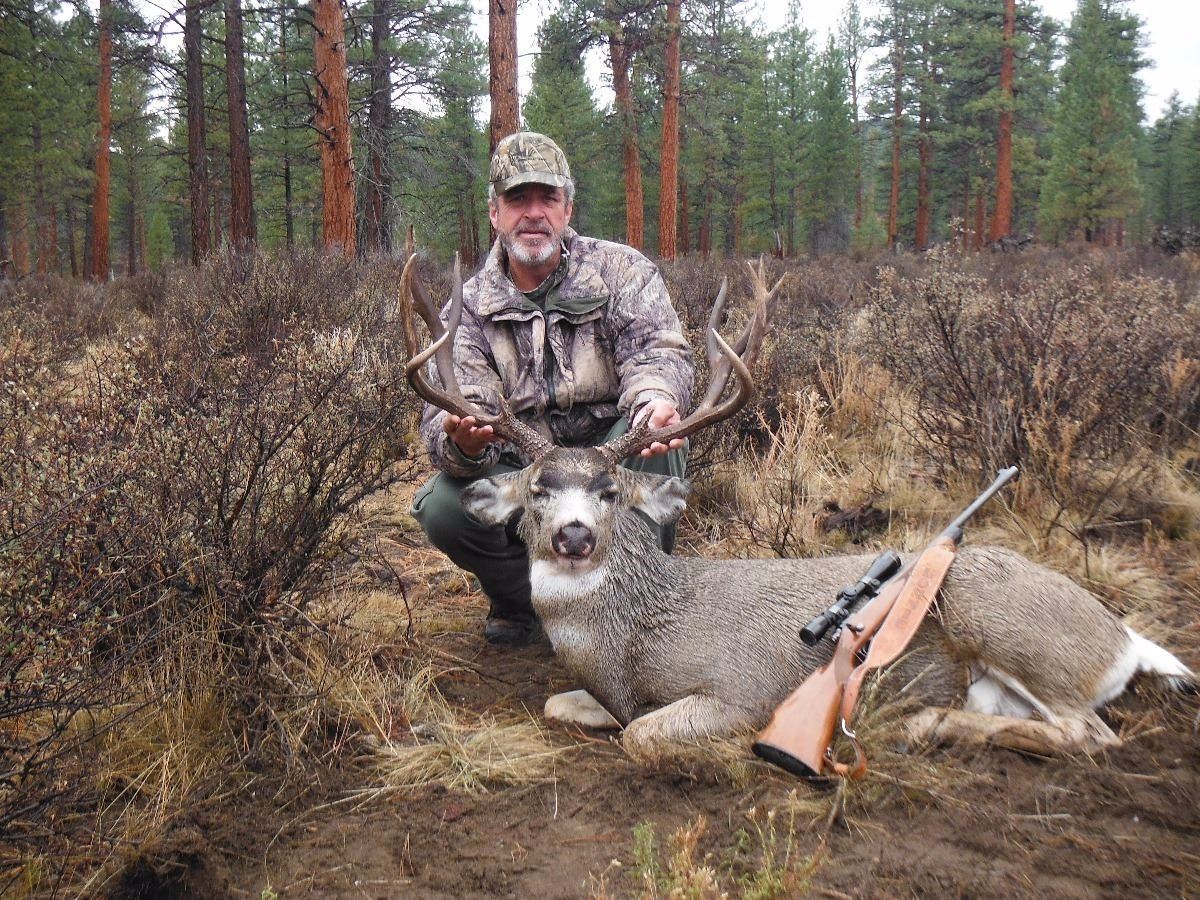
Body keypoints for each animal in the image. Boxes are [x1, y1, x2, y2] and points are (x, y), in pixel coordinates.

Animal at [400, 256, 1195, 764]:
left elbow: (642, 736)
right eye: (537, 487)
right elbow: (560, 705)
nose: (572, 536)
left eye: (610, 491)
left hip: (1002, 616)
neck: (632, 643)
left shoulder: (739, 690)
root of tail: (1123, 638)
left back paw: (925, 723)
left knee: (1091, 734)